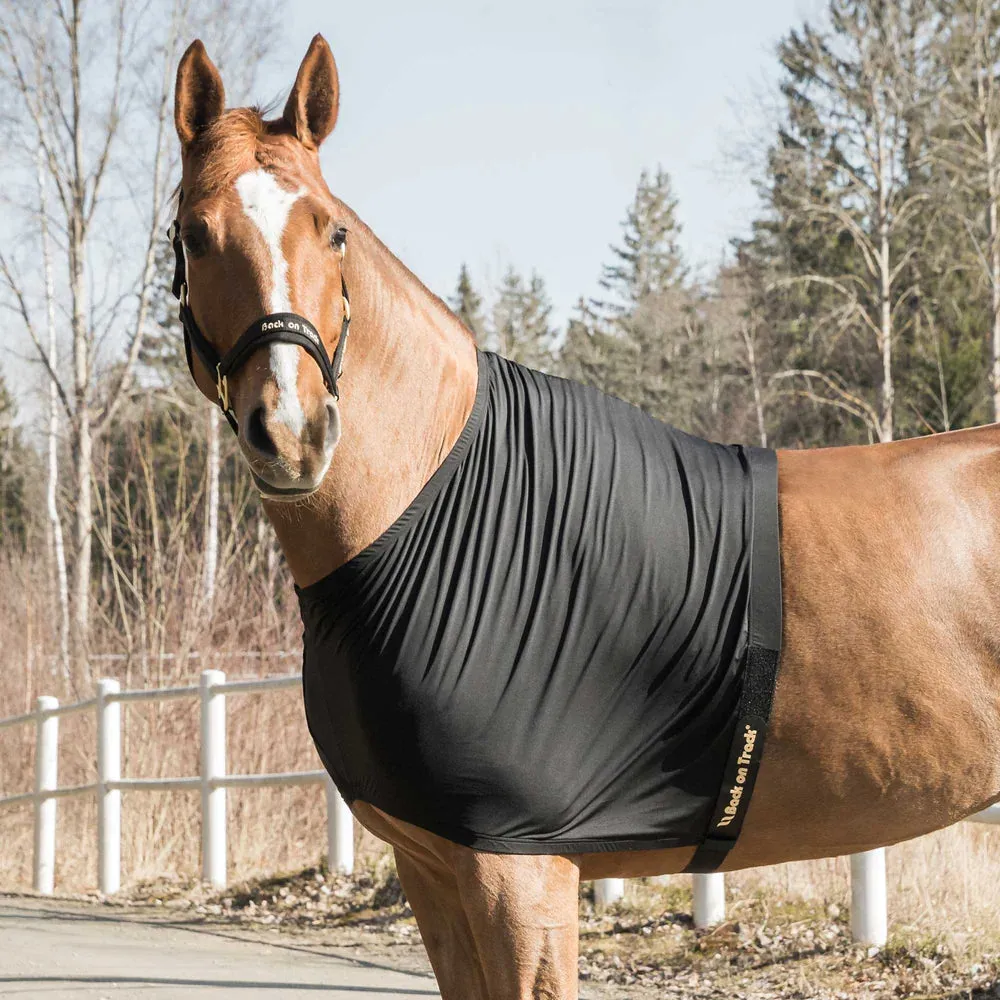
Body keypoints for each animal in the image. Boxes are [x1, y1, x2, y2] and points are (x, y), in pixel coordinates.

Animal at [171, 34, 1000, 999]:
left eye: (331, 229)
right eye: (193, 234)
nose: (294, 433)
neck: (428, 500)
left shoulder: (518, 869)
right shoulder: (434, 868)